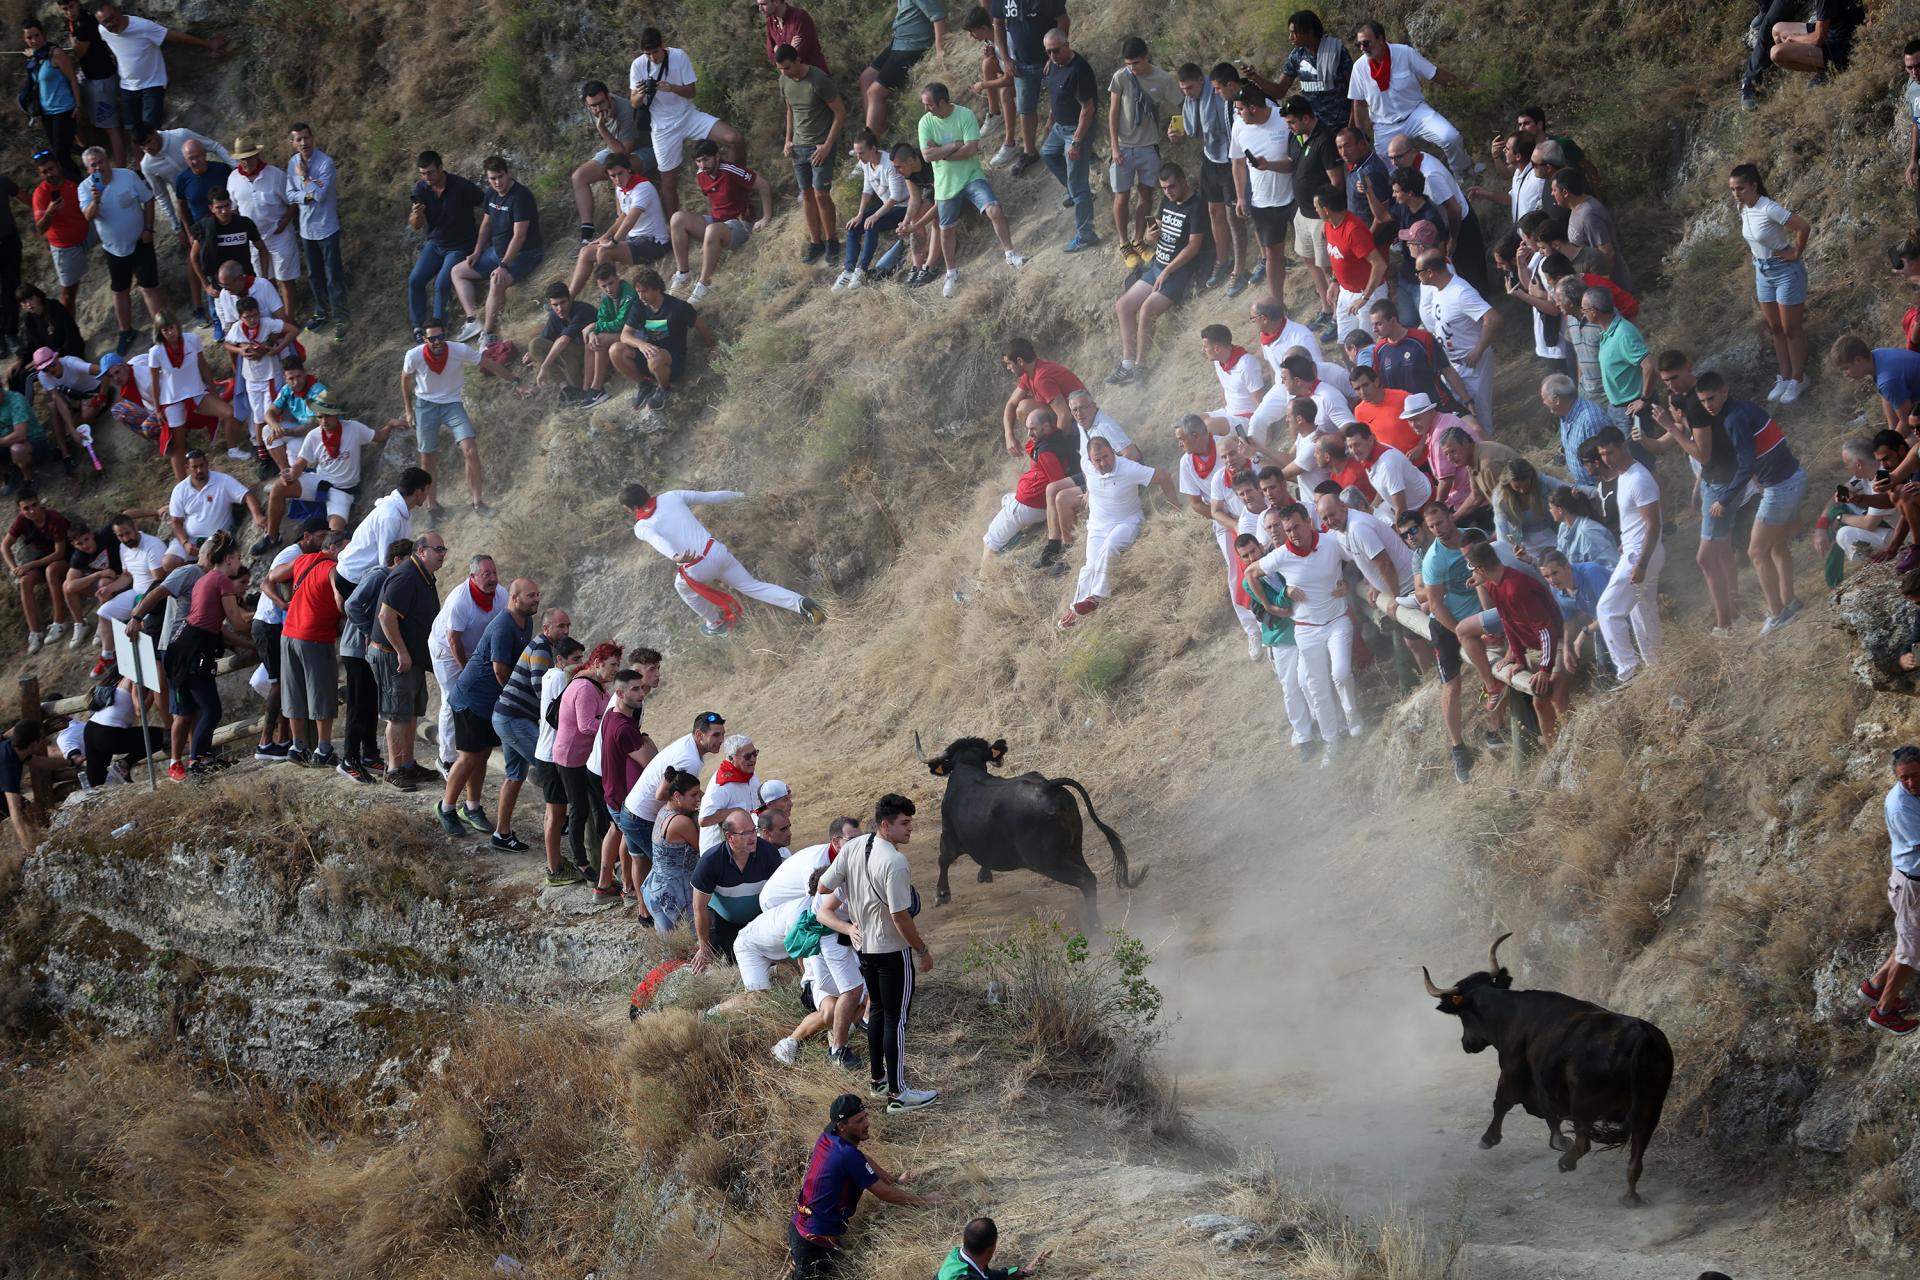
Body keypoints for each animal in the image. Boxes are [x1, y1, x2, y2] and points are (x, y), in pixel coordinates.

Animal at [910, 736, 1136, 924]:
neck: (967, 767)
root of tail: (1048, 786)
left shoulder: (948, 833)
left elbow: (943, 859)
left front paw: (942, 894)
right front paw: (984, 874)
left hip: (1046, 861)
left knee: (1085, 879)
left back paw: (1094, 926)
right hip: (1073, 848)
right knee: (1089, 875)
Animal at [1420, 936, 1674, 1205]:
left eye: (1462, 1016)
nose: (1467, 1044)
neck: (1509, 1013)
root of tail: (1640, 1036)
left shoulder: (1512, 1072)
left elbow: (1502, 1103)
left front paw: (1489, 1138)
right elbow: (1549, 1115)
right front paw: (1558, 1139)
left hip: (1584, 1106)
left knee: (1584, 1143)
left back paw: (1566, 1163)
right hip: (1649, 1112)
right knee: (1635, 1158)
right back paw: (1630, 1196)